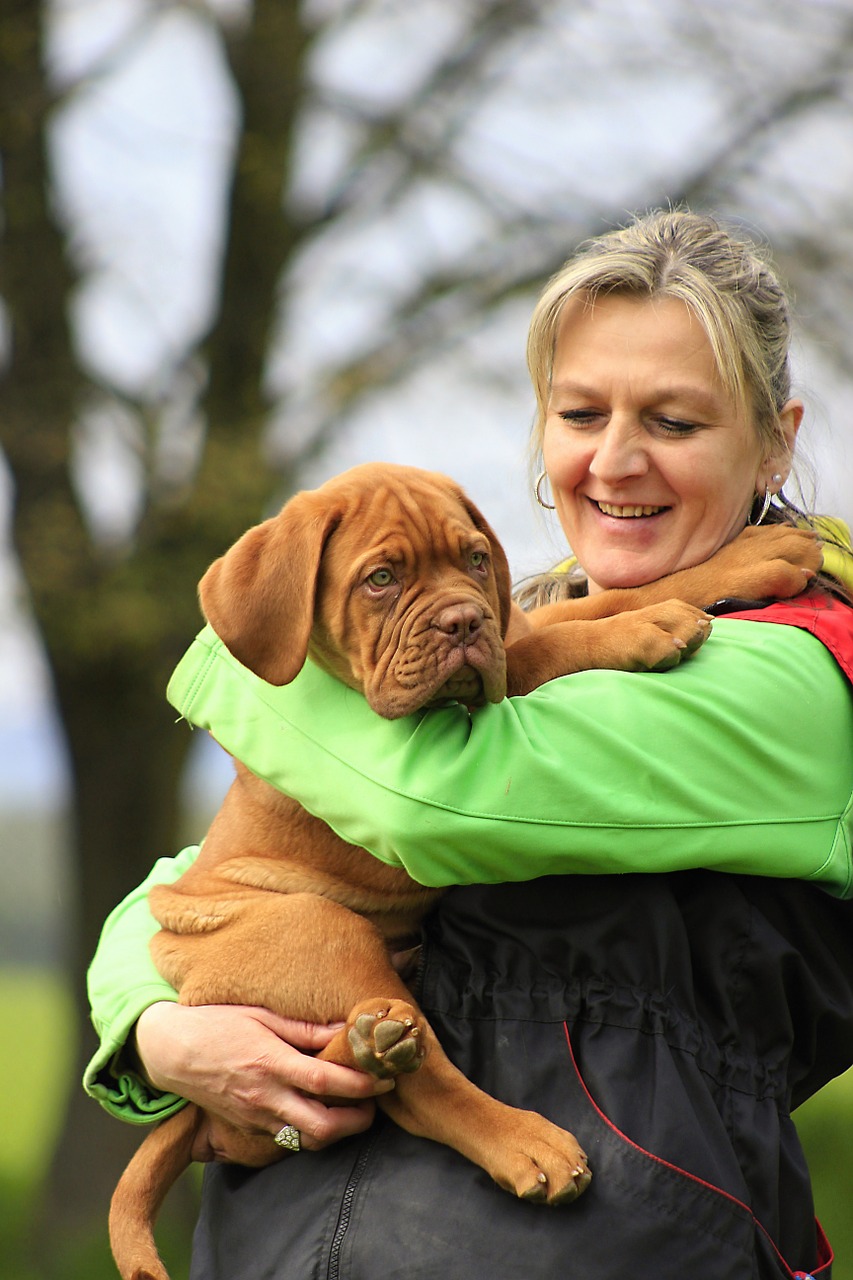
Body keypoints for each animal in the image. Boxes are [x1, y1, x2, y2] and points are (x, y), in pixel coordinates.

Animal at [108, 465, 819, 1280]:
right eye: (380, 580)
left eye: (476, 561)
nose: (462, 623)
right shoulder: (489, 688)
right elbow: (563, 641)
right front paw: (643, 630)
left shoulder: (510, 630)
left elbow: (595, 599)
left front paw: (751, 558)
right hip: (316, 929)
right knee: (415, 1089)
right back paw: (510, 1133)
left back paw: (367, 1043)